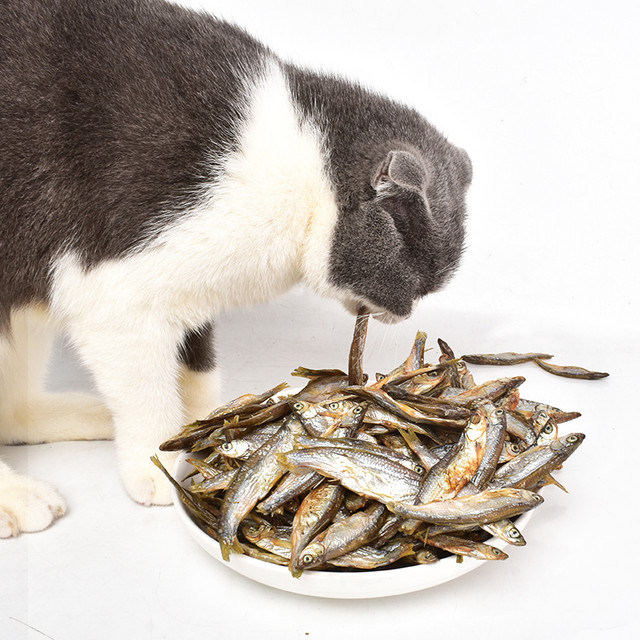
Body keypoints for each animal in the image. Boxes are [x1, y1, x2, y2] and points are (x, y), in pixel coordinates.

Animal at [0, 0, 470, 536]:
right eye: (416, 278)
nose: (407, 312)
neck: (302, 165)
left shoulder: (185, 285)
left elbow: (197, 362)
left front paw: (207, 427)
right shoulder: (114, 294)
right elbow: (146, 389)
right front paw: (159, 463)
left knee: (12, 413)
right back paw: (18, 497)